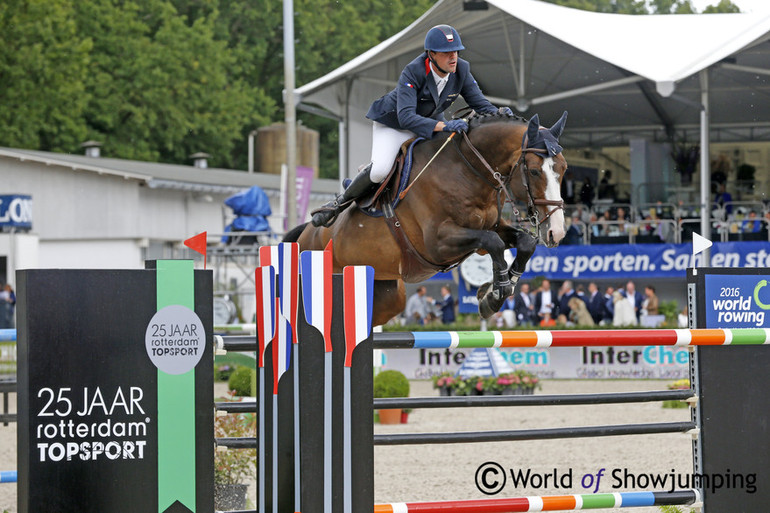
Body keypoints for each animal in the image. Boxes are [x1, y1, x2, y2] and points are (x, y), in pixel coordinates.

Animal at [282, 111, 564, 324]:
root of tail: (305, 233)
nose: (557, 232)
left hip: (387, 295)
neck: (467, 170)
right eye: (535, 171)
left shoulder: (491, 227)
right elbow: (492, 242)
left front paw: (496, 293)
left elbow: (524, 243)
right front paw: (497, 292)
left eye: (563, 169)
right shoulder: (437, 244)